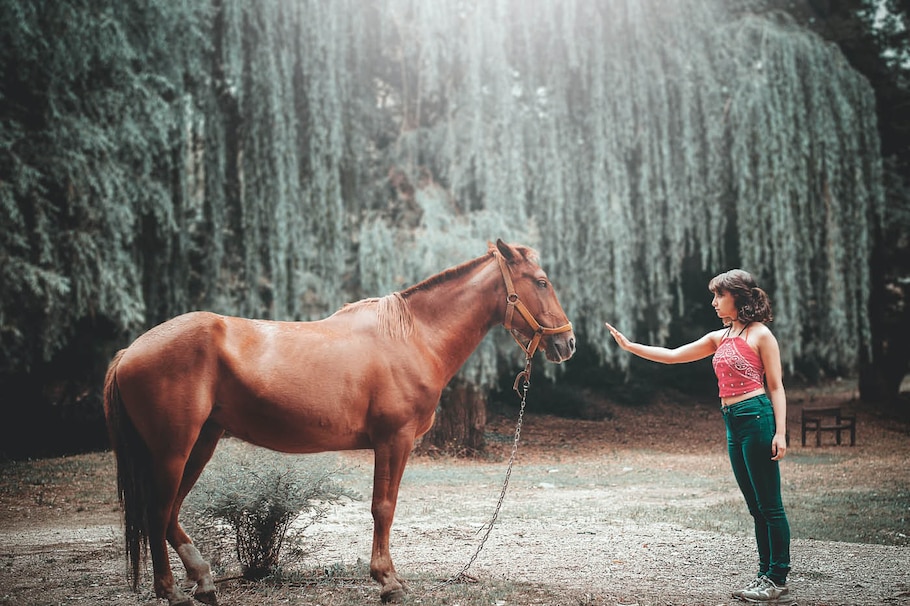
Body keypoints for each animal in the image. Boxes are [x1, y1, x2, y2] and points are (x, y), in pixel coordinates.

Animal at [105, 240, 576, 604]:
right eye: (541, 281)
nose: (567, 343)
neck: (412, 337)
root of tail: (129, 351)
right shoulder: (394, 440)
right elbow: (383, 507)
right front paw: (388, 582)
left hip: (201, 442)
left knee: (169, 513)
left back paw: (203, 582)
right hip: (172, 449)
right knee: (157, 512)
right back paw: (172, 591)